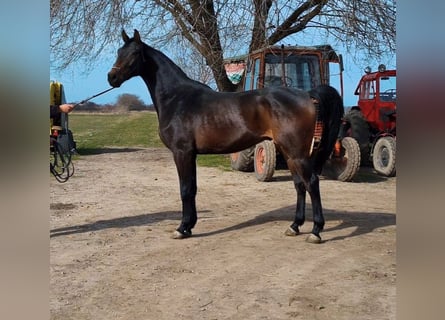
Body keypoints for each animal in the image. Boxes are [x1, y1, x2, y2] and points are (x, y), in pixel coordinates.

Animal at [107, 30, 344, 245]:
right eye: (119, 51)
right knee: (299, 185)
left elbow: (185, 189)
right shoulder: (191, 154)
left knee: (311, 183)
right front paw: (189, 226)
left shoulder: (182, 152)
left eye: (135, 53)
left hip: (297, 153)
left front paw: (181, 229)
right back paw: (294, 226)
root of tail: (308, 95)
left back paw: (316, 231)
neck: (178, 99)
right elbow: (192, 188)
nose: (112, 77)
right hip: (289, 152)